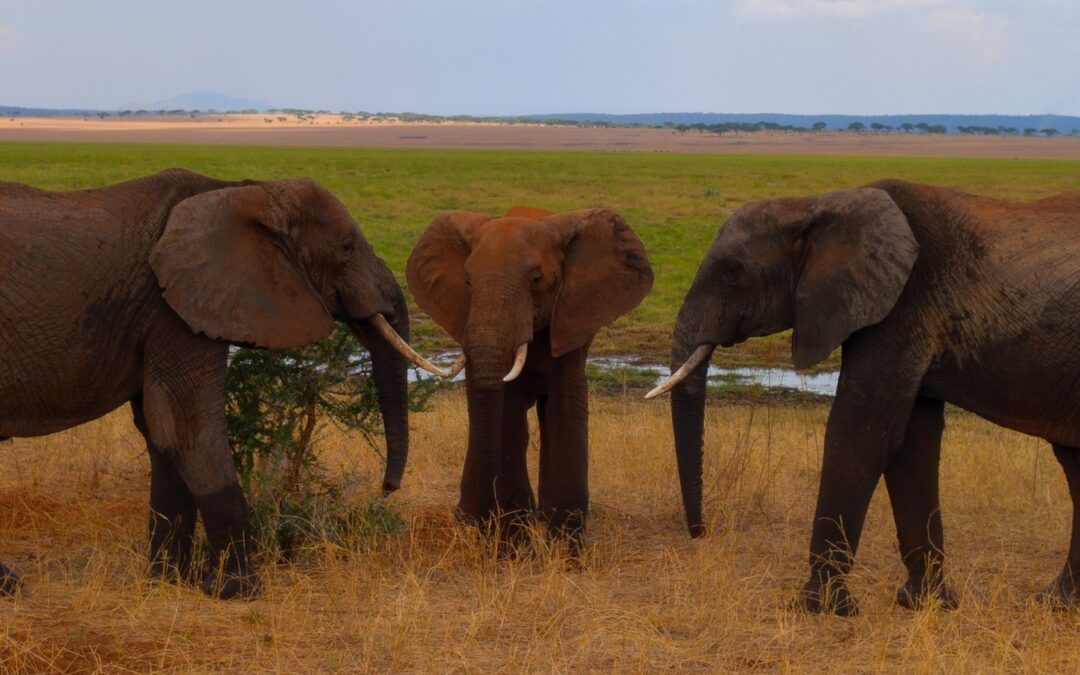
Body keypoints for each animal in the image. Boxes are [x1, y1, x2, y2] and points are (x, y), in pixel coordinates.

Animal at [0, 169, 443, 598]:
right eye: (347, 247)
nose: (387, 488)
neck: (245, 191)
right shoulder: (176, 306)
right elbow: (188, 430)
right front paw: (236, 589)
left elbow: (161, 434)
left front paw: (169, 581)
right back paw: (9, 584)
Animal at [407, 205, 652, 555]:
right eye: (467, 281)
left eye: (537, 280)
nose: (486, 525)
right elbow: (507, 417)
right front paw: (516, 552)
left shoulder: (572, 320)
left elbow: (565, 409)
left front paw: (566, 553)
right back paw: (470, 520)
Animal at [649, 180, 1080, 614]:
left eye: (732, 272)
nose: (701, 532)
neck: (817, 204)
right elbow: (911, 443)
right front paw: (924, 603)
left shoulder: (902, 305)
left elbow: (861, 434)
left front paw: (823, 607)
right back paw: (1056, 604)